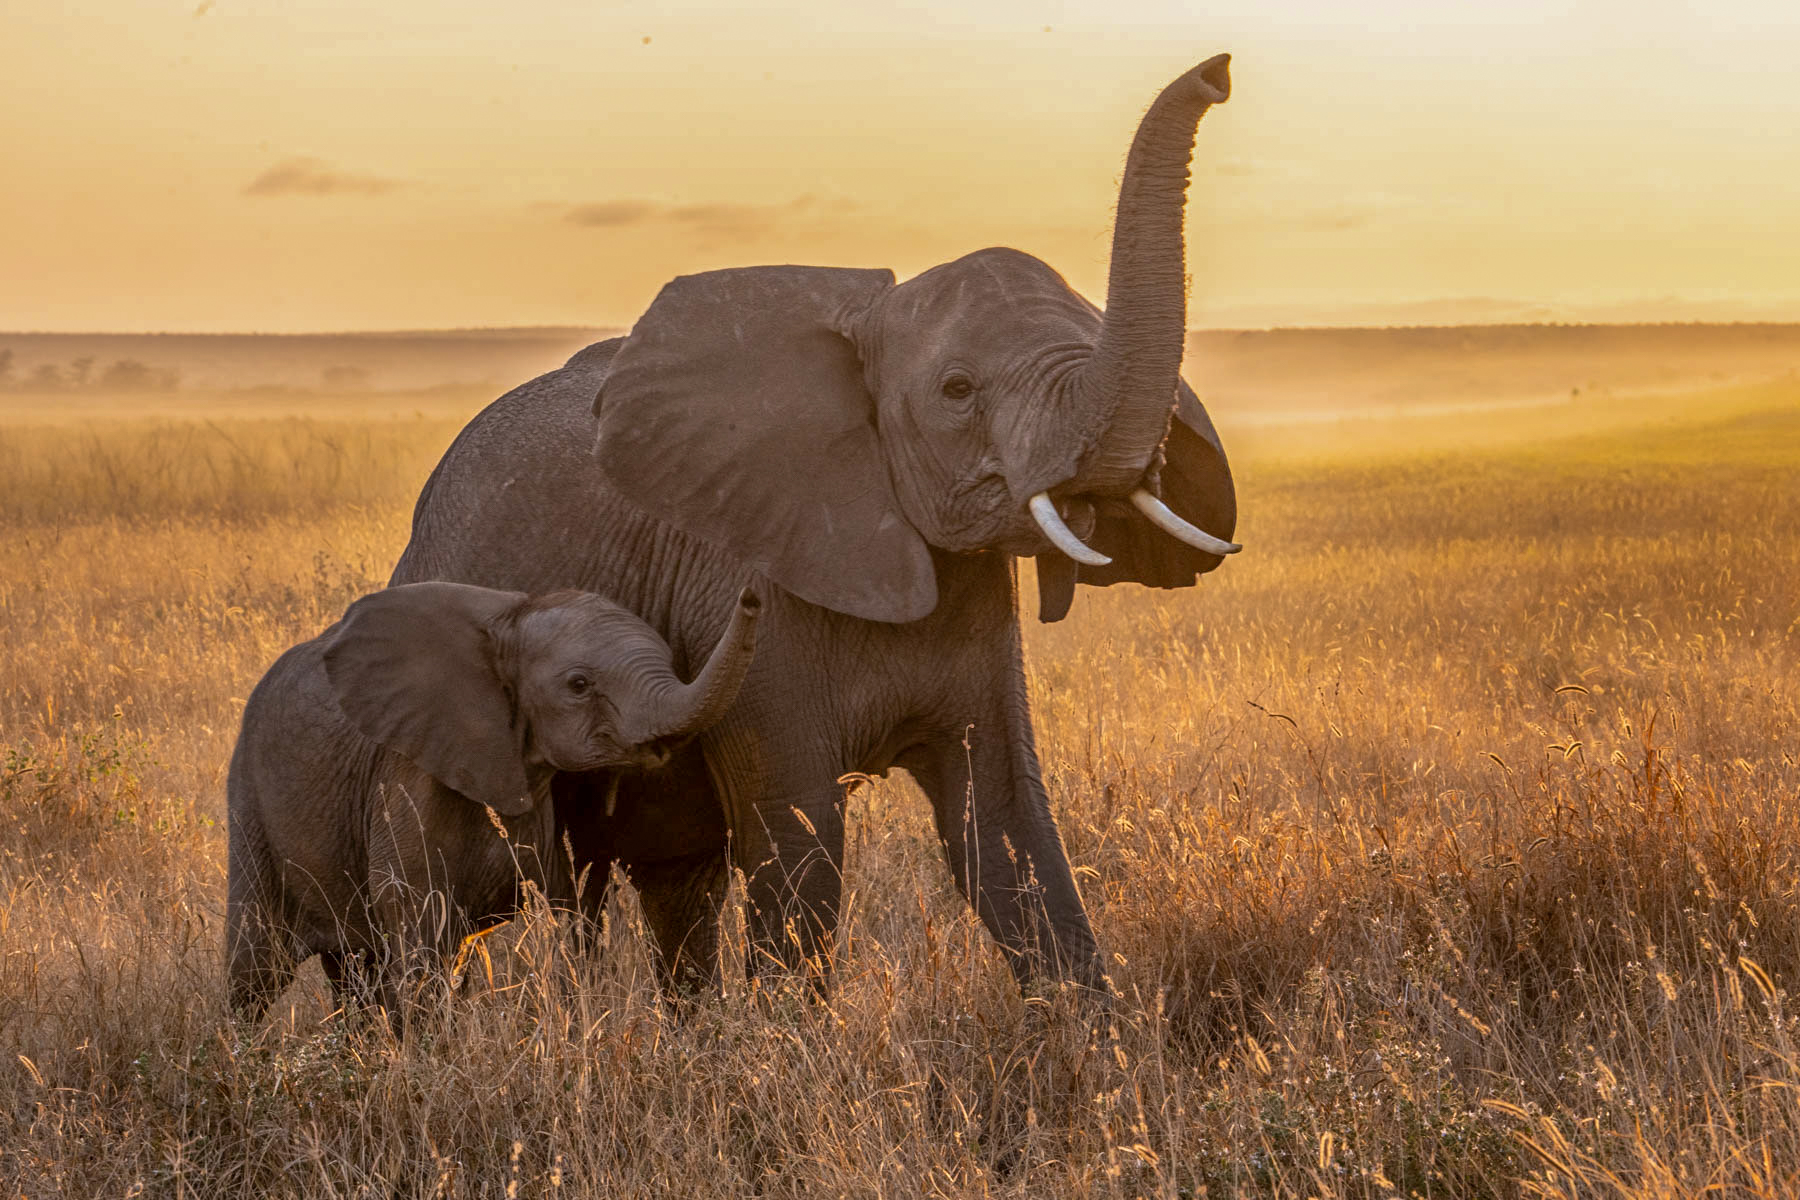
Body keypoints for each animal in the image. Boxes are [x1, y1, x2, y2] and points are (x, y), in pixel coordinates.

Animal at [225, 581, 761, 1020]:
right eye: (579, 685)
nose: (752, 595)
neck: (510, 624)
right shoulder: (409, 779)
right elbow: (418, 925)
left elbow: (569, 915)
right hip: (250, 805)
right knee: (253, 973)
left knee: (352, 967)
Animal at [387, 54, 1239, 996]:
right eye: (957, 390)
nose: (1219, 71)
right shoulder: (746, 586)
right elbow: (799, 837)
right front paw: (793, 1030)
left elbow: (1006, 821)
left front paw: (1093, 1029)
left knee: (675, 882)